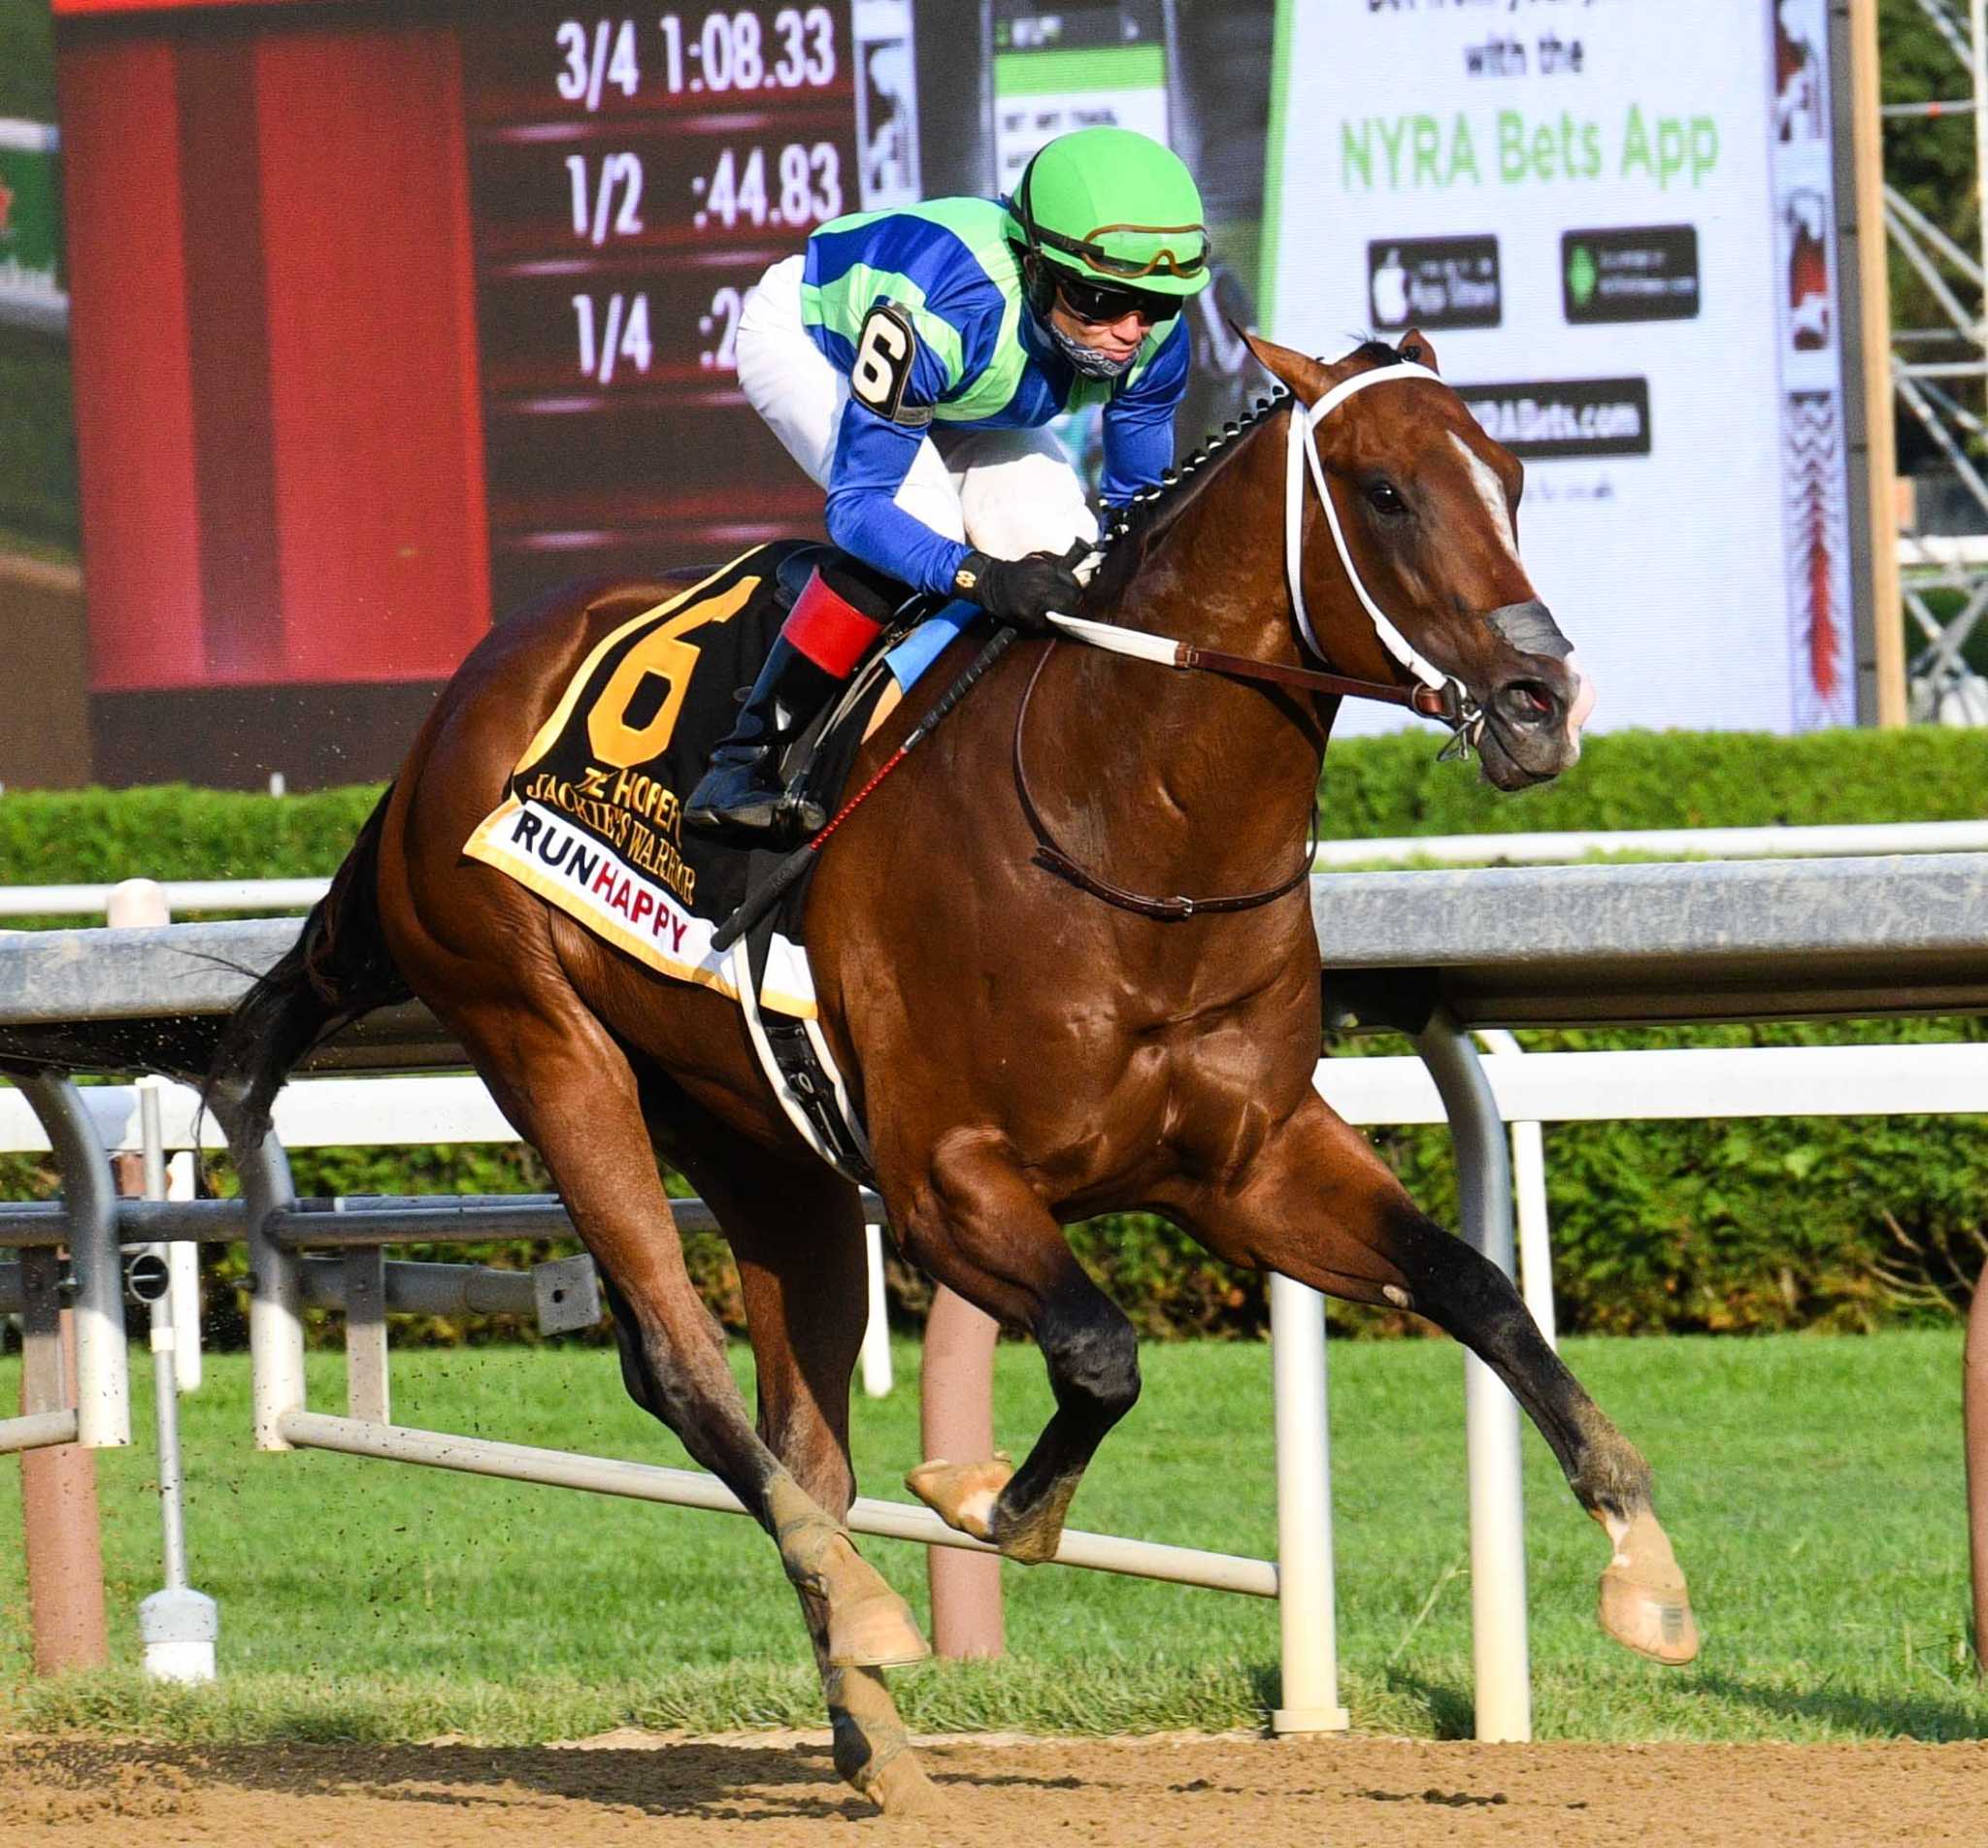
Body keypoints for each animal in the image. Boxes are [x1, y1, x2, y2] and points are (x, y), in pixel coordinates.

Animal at [214, 331, 1693, 1812]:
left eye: (1510, 478)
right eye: (1383, 492)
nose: (1540, 705)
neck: (1131, 821)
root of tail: (460, 702)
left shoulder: (1249, 1162)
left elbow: (1477, 1288)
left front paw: (1644, 1564)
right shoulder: (944, 1180)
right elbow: (1101, 1352)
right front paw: (991, 1499)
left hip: (760, 1146)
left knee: (795, 1423)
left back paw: (875, 1728)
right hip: (539, 1035)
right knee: (684, 1366)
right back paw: (863, 1599)